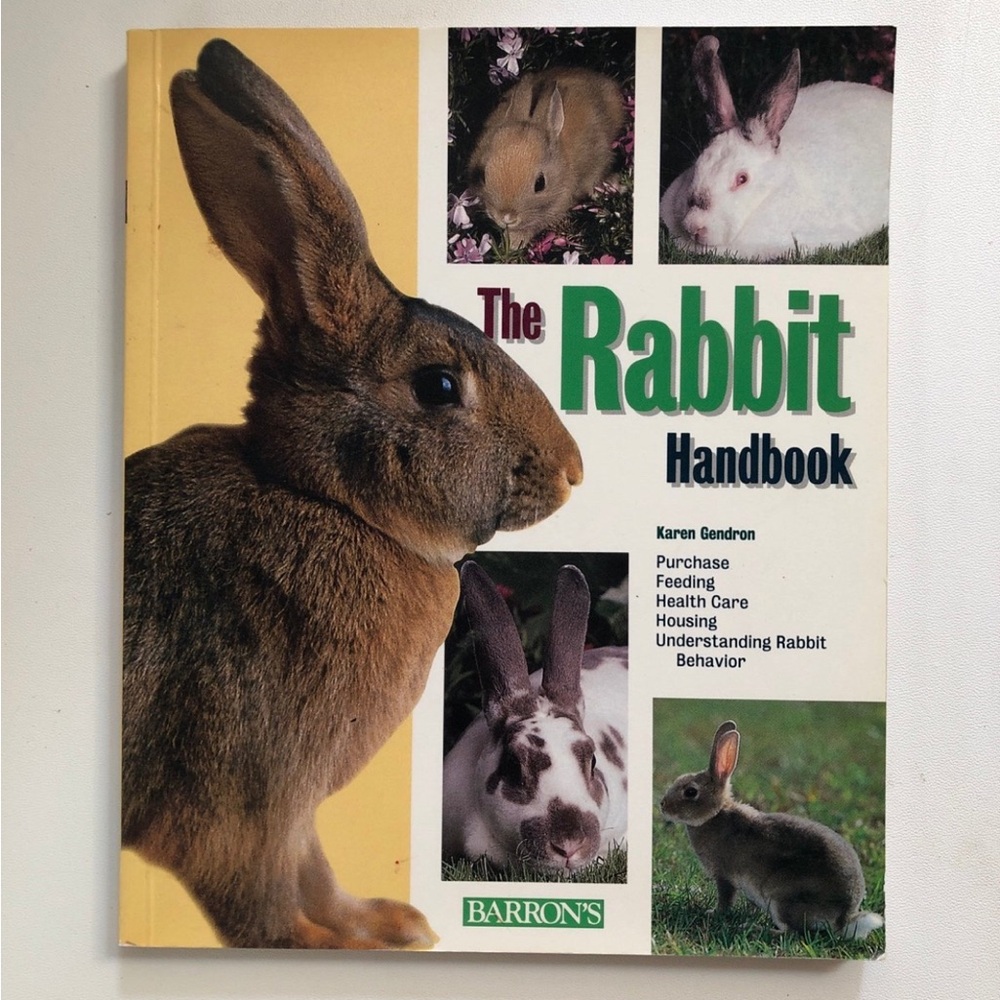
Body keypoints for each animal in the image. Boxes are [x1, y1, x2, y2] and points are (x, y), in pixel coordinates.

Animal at [121, 38, 583, 950]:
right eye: (439, 385)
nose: (572, 469)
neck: (327, 502)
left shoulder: (291, 814)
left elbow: (314, 871)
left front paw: (383, 924)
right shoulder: (239, 796)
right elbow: (258, 898)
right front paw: (318, 946)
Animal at [660, 721, 884, 940]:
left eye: (690, 792)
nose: (662, 805)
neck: (714, 815)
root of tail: (842, 918)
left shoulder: (724, 876)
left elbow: (725, 898)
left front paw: (713, 913)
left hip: (783, 900)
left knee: (793, 932)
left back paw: (756, 929)